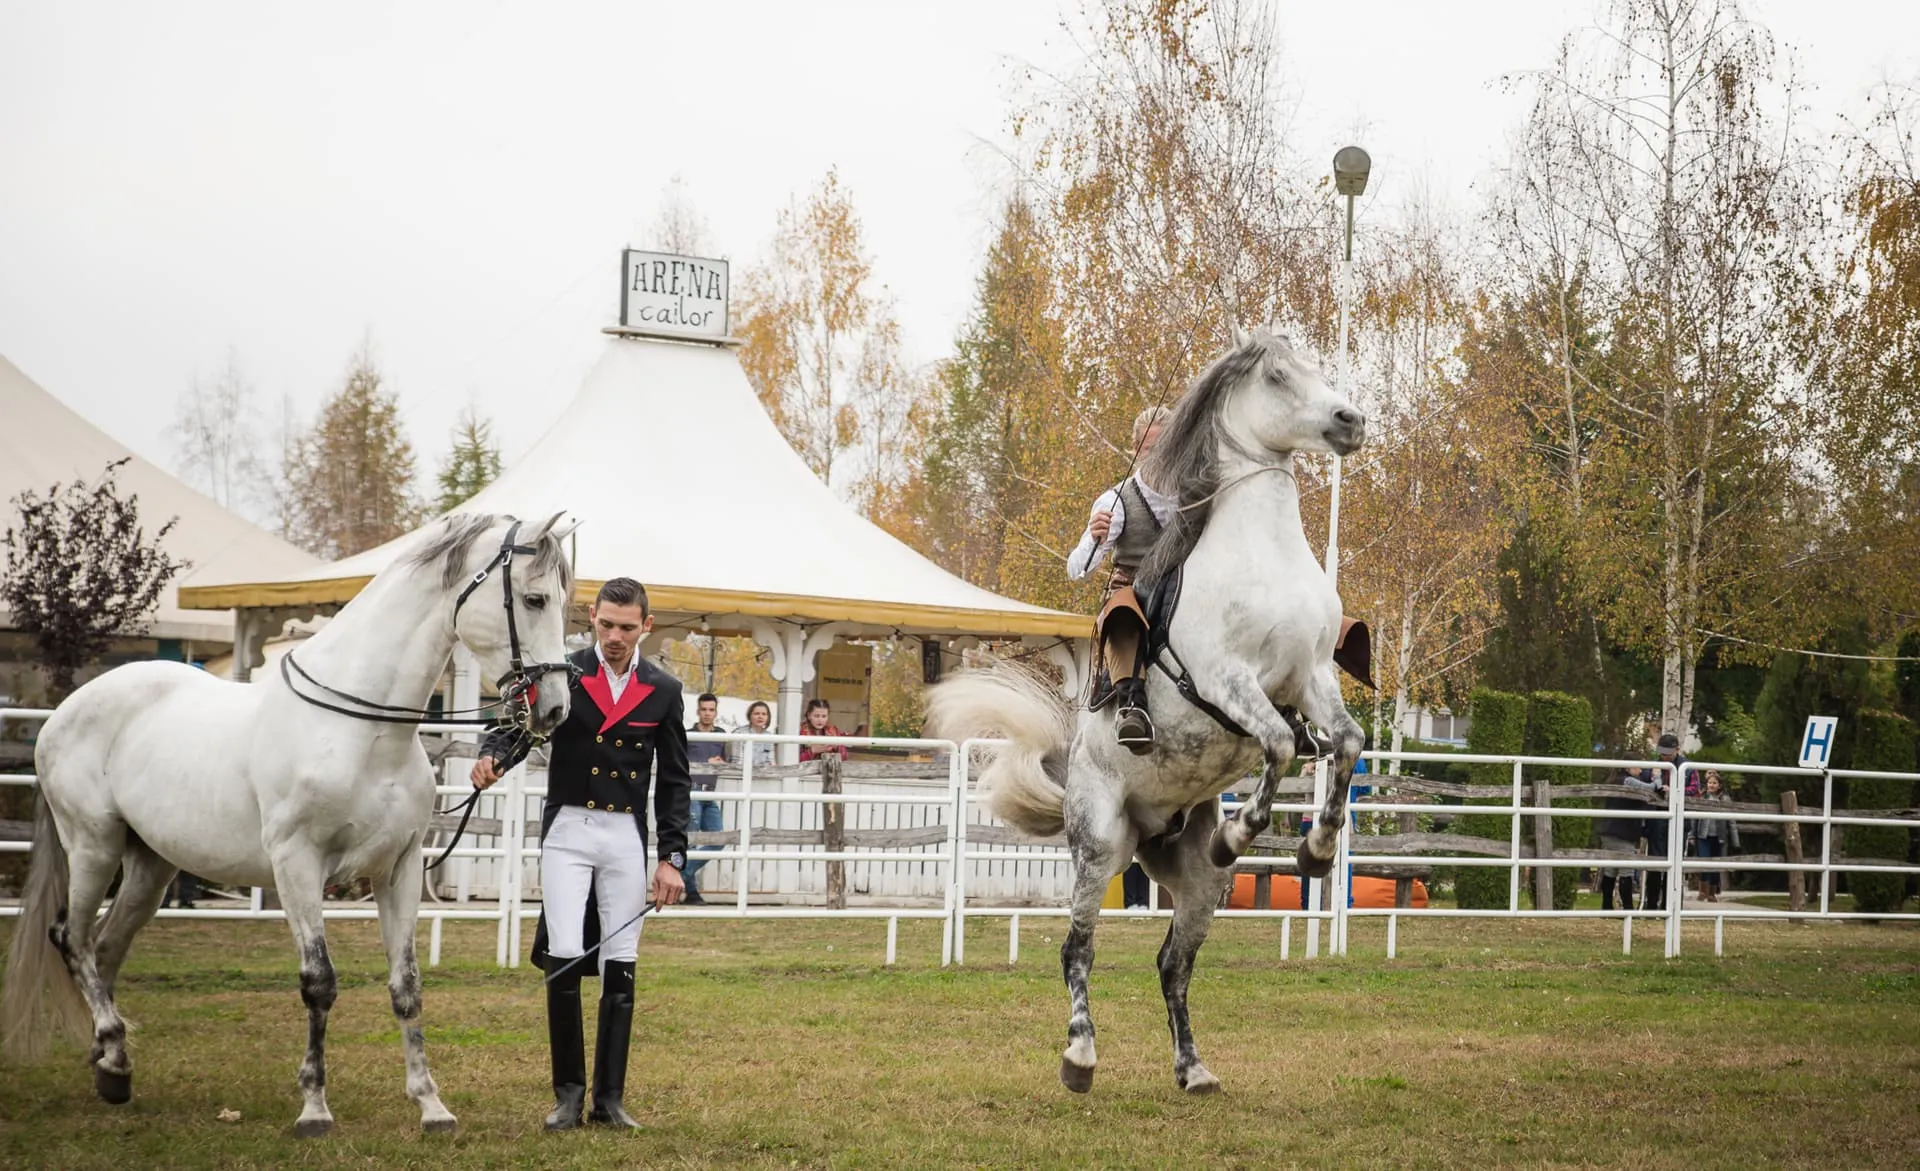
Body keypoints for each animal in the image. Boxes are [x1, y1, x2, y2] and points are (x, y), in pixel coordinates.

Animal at [2, 512, 576, 1137]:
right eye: (535, 598)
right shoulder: (297, 865)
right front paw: (314, 1108)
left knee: (104, 949)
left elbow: (406, 986)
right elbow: (318, 982)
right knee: (72, 939)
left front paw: (431, 1105)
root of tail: (65, 711)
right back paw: (109, 1046)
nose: (555, 709)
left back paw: (112, 1066)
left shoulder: (397, 872)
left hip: (150, 867)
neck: (362, 730)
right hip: (93, 849)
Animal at [927, 328, 1368, 1095]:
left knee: (1173, 963)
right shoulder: (1227, 681)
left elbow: (1344, 741)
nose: (1350, 421)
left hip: (1196, 884)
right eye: (1280, 377)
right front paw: (1244, 830)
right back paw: (1079, 1057)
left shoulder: (1311, 678)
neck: (1263, 556)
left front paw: (1315, 847)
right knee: (1077, 949)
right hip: (1101, 846)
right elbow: (1281, 744)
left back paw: (1193, 1067)